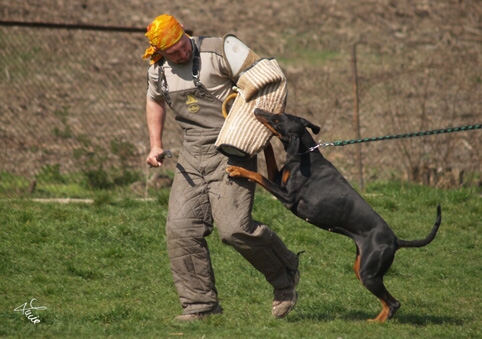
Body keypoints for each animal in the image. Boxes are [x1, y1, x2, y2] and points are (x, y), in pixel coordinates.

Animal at [226, 109, 440, 324]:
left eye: (277, 121)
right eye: (279, 113)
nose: (257, 111)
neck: (306, 154)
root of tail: (396, 240)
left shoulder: (287, 197)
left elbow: (257, 175)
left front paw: (237, 169)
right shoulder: (277, 178)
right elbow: (269, 158)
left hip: (369, 273)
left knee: (394, 303)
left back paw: (374, 324)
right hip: (361, 268)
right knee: (387, 302)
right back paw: (373, 320)